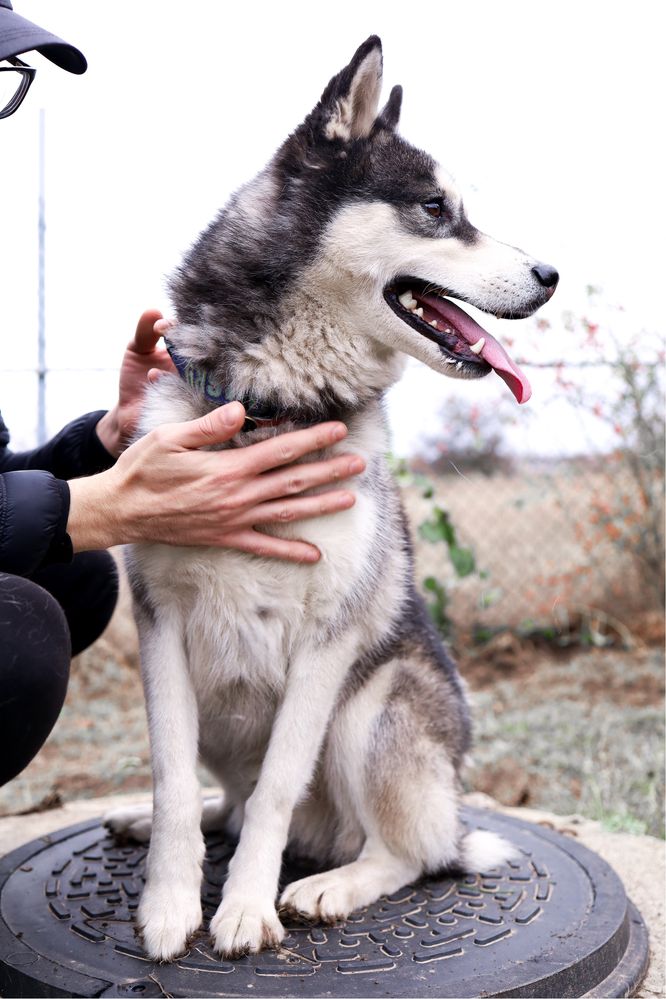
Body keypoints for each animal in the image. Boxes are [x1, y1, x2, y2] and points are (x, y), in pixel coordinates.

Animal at [105, 35, 556, 964]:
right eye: (435, 207)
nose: (551, 274)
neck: (273, 408)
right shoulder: (159, 623)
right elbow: (172, 780)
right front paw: (168, 902)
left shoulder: (326, 640)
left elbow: (280, 785)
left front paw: (245, 908)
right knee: (228, 803)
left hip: (370, 706)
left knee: (408, 853)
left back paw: (333, 884)